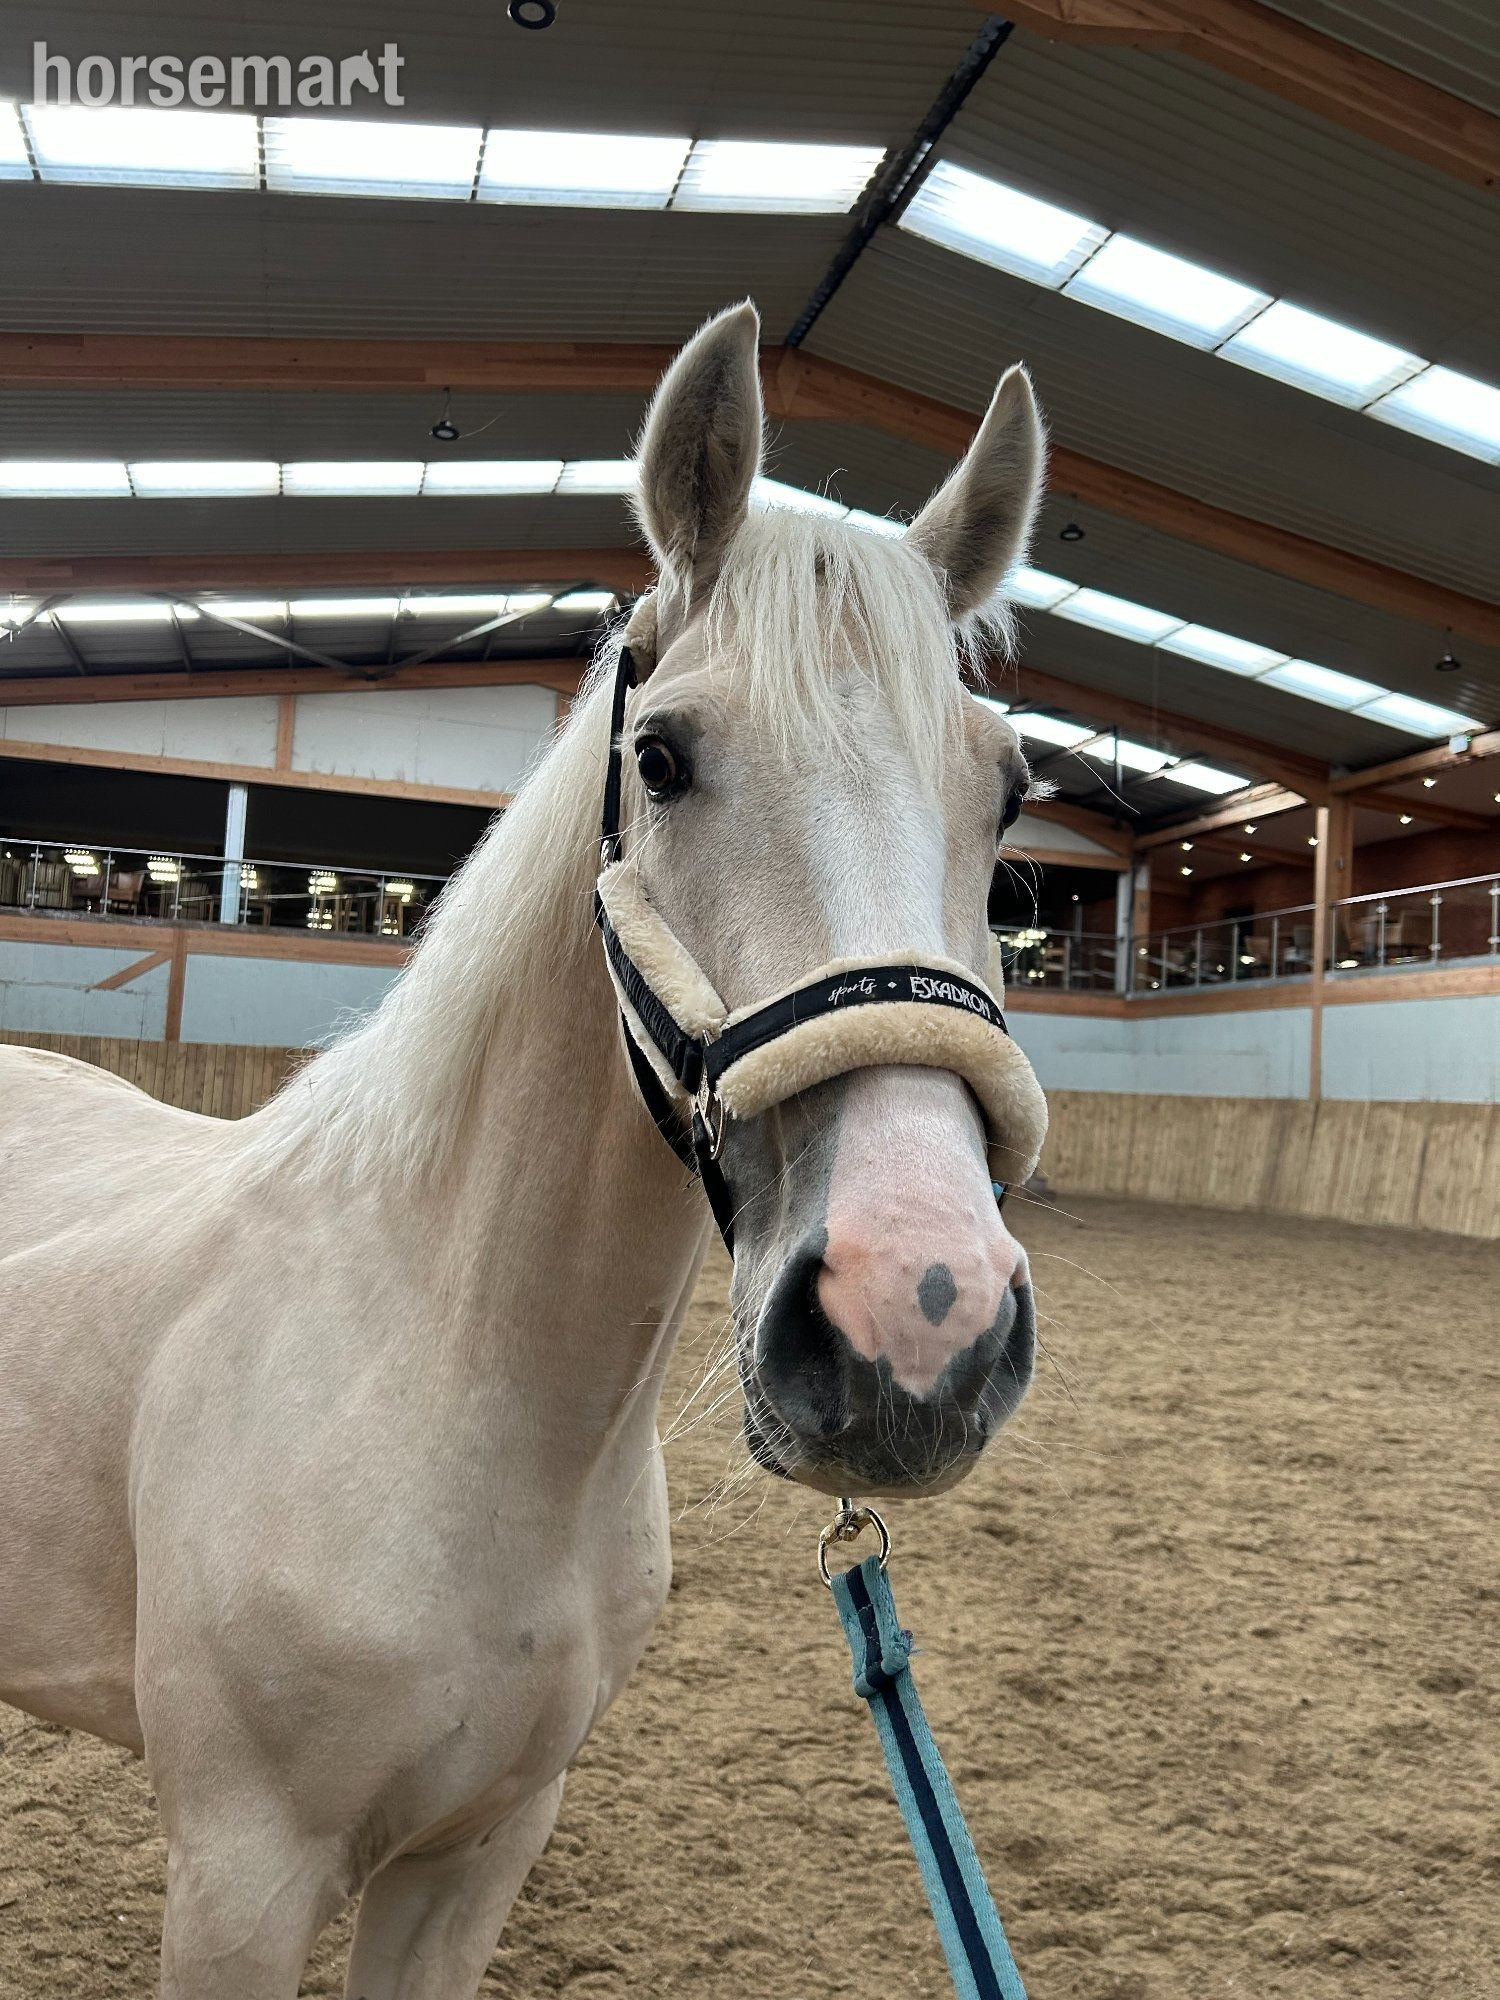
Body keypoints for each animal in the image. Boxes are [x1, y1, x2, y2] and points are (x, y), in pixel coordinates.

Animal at [0, 300, 1048, 1999]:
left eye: (1010, 790)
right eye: (666, 758)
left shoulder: (478, 1852)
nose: (920, 1314)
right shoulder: (240, 1871)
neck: (441, 1375)